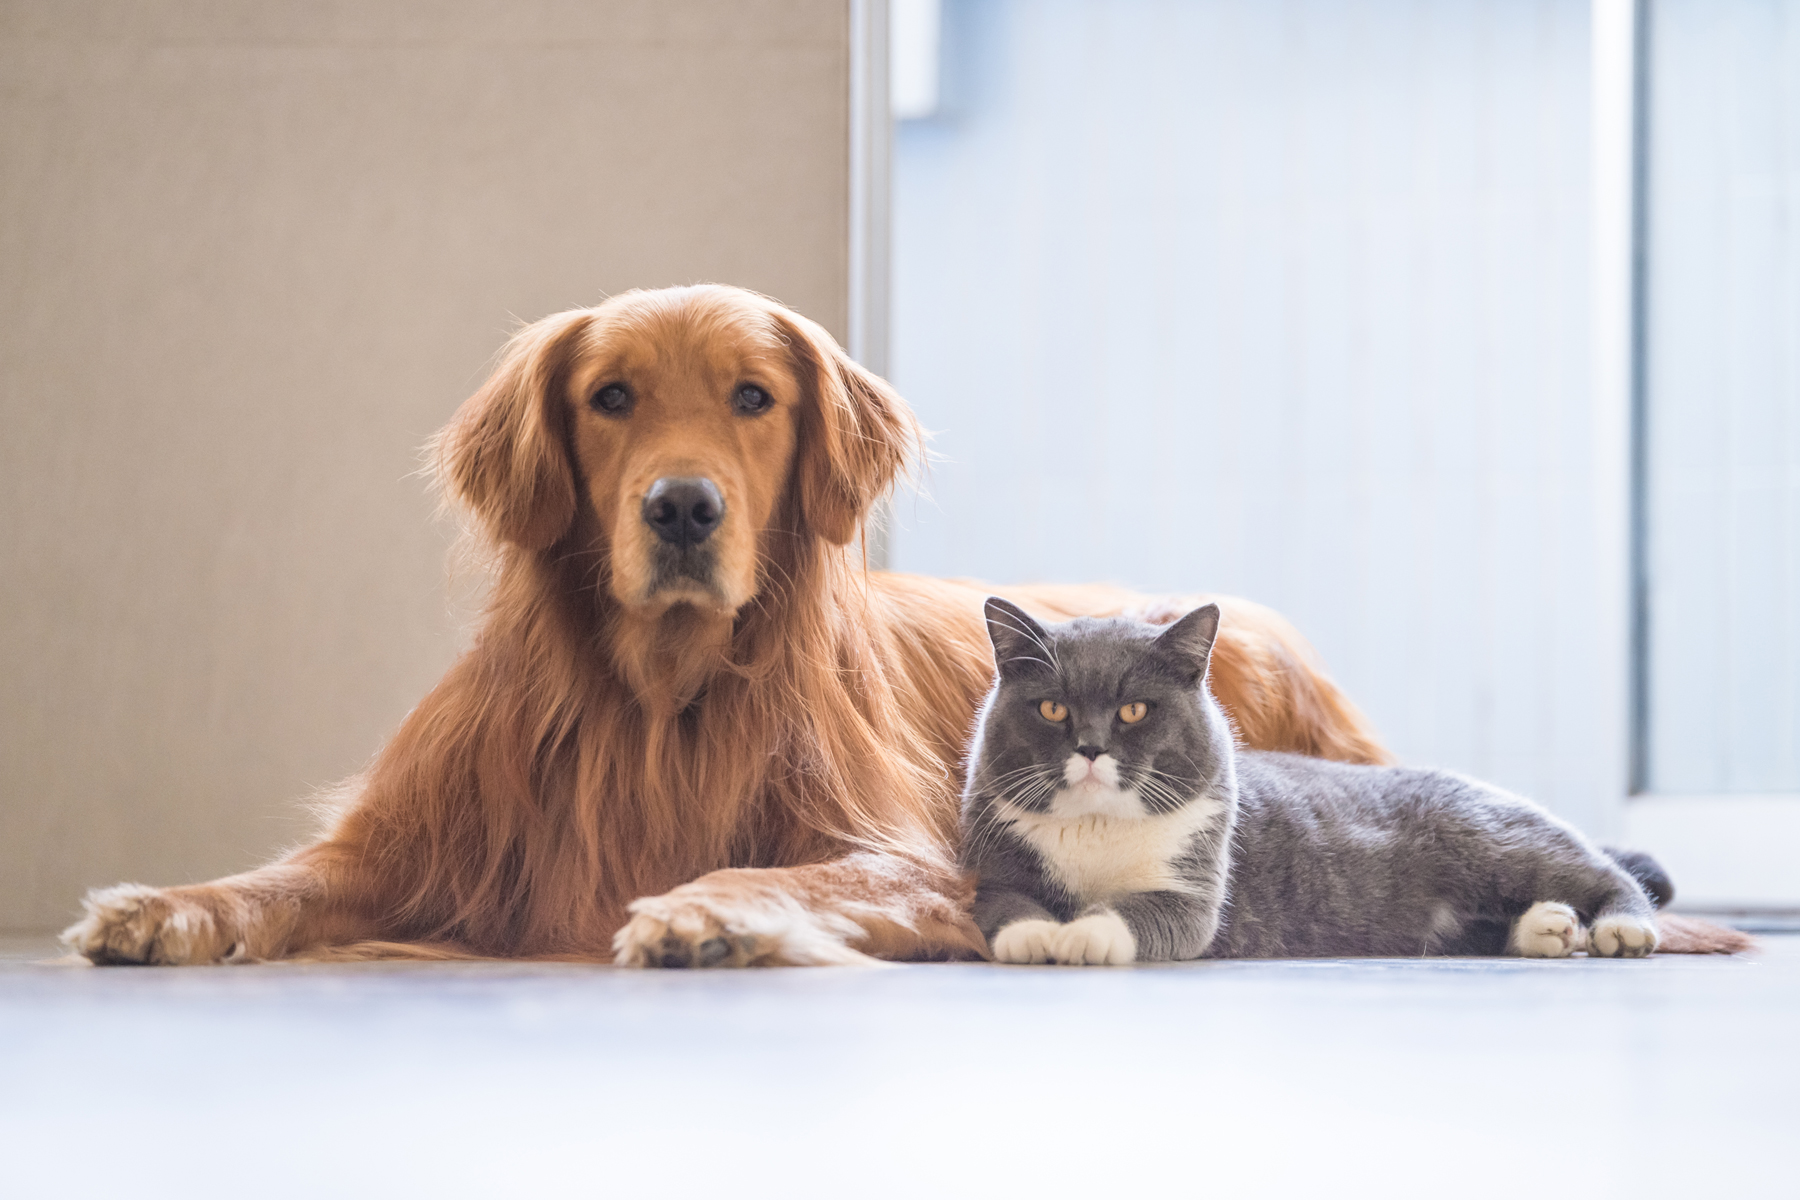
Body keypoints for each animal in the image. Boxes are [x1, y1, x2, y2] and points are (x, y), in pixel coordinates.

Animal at [964, 600, 1663, 964]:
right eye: (1052, 709)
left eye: (1134, 710)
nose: (1089, 747)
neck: (1097, 827)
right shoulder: (997, 865)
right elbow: (1004, 907)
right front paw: (1036, 937)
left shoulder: (1191, 887)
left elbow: (1137, 912)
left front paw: (1082, 934)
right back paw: (1547, 929)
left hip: (1488, 840)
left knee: (1603, 873)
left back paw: (1619, 927)